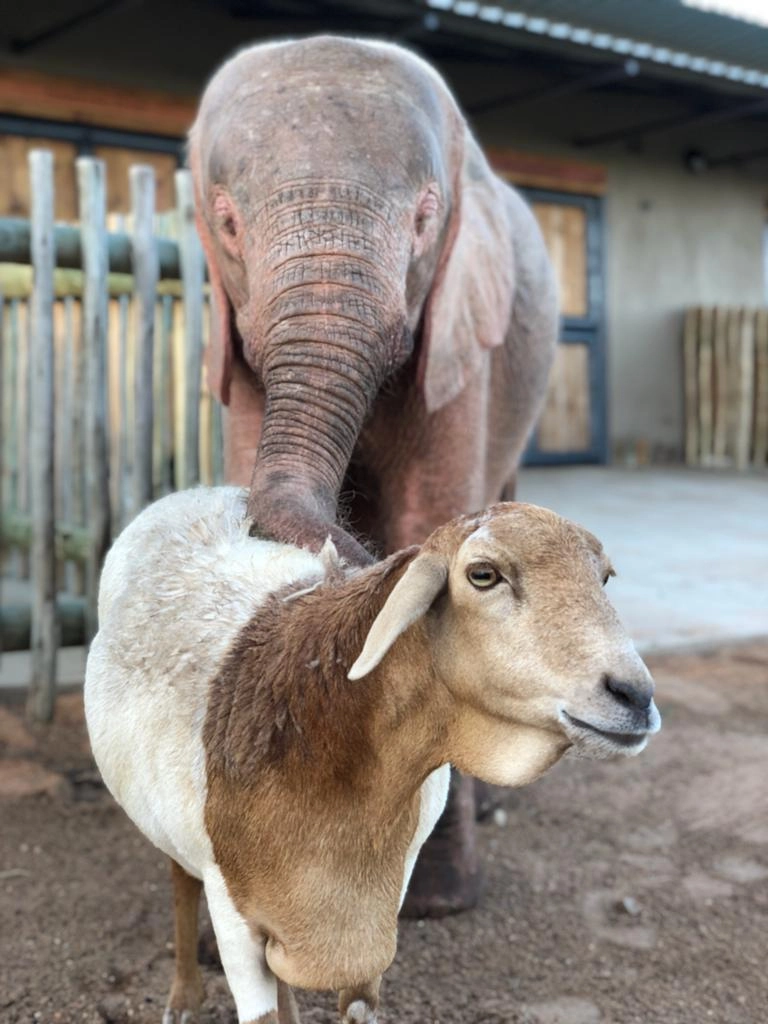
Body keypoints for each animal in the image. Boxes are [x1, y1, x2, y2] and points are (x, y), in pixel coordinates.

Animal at [84, 486, 660, 1024]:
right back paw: (183, 997)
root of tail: (197, 491)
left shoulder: (379, 904)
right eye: (483, 574)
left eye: (604, 578)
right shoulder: (232, 913)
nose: (635, 696)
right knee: (179, 880)